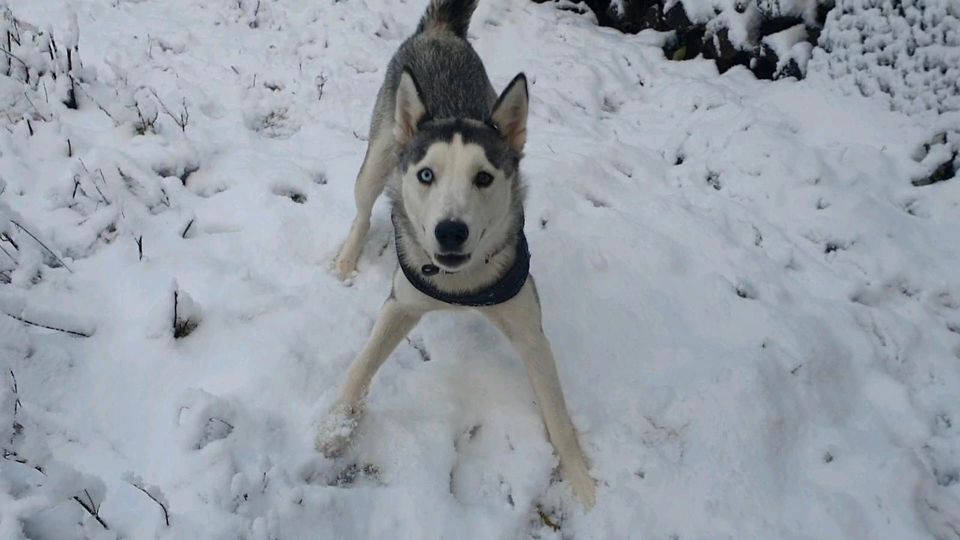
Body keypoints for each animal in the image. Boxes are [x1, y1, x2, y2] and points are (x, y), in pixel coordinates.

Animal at [320, 0, 592, 508]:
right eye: (426, 175)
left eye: (483, 178)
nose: (449, 232)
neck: (459, 287)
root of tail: (440, 31)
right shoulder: (401, 304)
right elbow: (361, 365)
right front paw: (334, 426)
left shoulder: (529, 328)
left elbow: (558, 414)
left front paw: (581, 482)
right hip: (379, 157)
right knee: (363, 209)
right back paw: (346, 259)